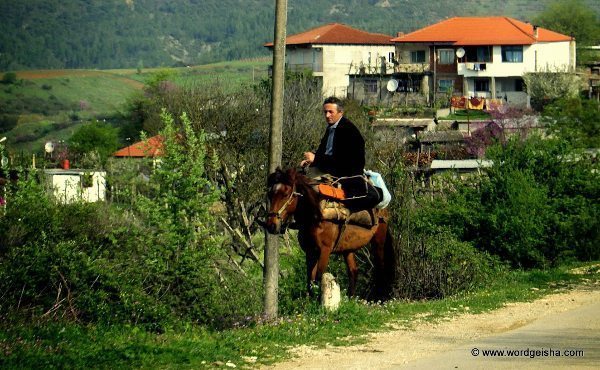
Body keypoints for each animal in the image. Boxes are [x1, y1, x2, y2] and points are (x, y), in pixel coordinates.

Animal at [266, 167, 394, 298]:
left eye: (286, 194)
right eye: (270, 194)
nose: (271, 225)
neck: (317, 216)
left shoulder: (325, 251)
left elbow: (318, 278)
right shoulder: (310, 251)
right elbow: (310, 281)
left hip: (379, 242)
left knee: (380, 269)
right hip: (348, 248)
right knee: (353, 271)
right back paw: (351, 298)